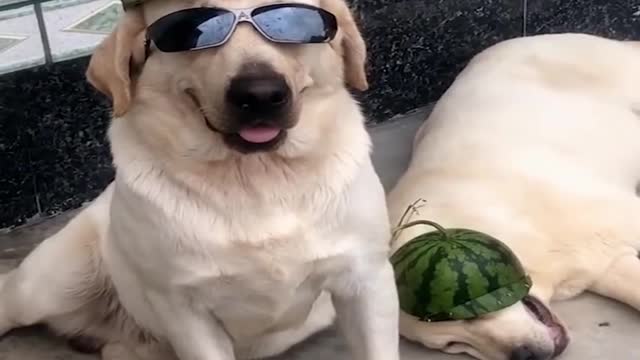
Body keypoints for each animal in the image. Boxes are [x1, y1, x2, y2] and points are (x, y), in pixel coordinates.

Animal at [0, 0, 400, 360]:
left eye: (292, 19)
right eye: (191, 29)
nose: (260, 94)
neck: (257, 179)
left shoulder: (367, 280)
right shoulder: (187, 312)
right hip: (51, 284)